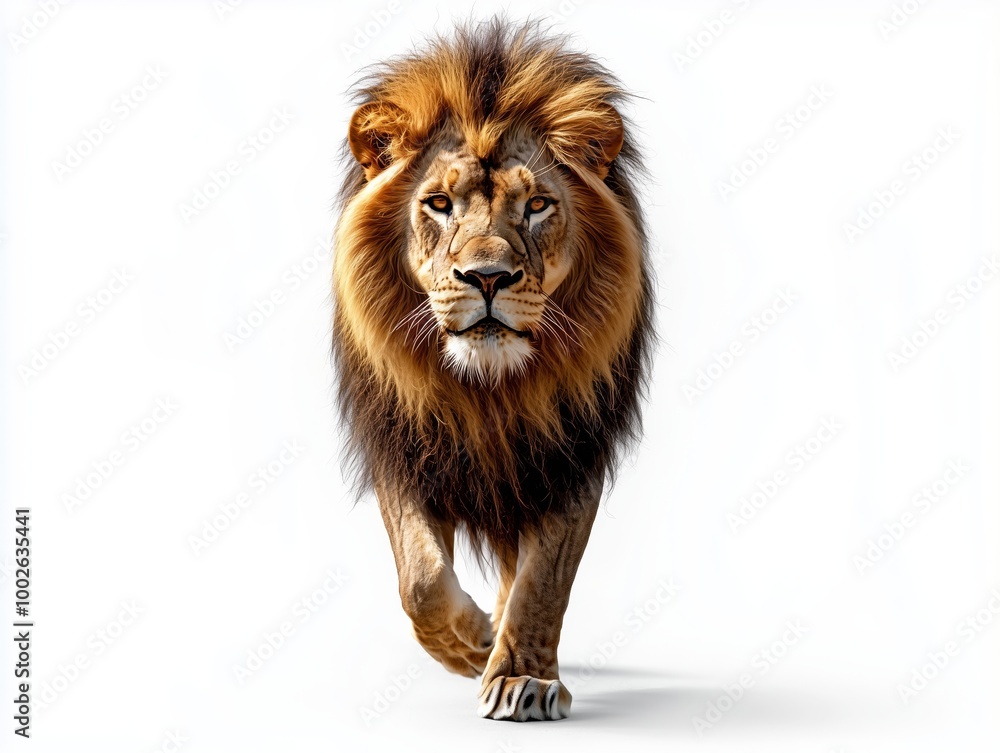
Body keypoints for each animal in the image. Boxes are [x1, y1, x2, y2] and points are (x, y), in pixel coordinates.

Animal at [332, 19, 653, 721]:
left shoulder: (570, 454)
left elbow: (542, 583)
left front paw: (521, 677)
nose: (486, 277)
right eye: (438, 203)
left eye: (536, 205)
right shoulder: (403, 443)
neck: (489, 394)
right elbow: (422, 580)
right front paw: (471, 643)